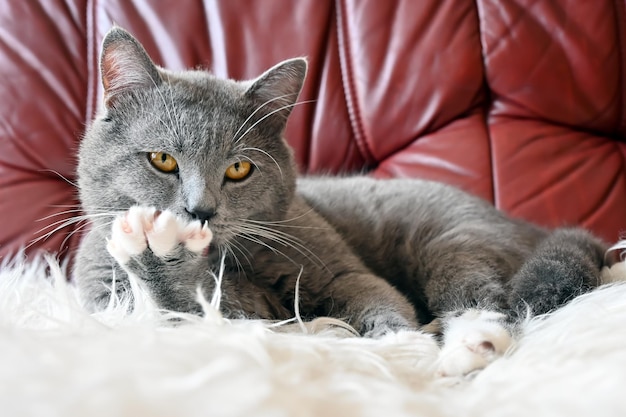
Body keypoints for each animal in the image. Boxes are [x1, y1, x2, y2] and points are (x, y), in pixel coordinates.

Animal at [73, 26, 604, 370]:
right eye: (162, 159)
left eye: (238, 169)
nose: (199, 211)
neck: (223, 264)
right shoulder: (109, 292)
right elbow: (193, 310)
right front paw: (154, 248)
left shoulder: (336, 267)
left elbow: (373, 295)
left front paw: (403, 349)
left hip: (452, 238)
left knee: (479, 292)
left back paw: (473, 342)